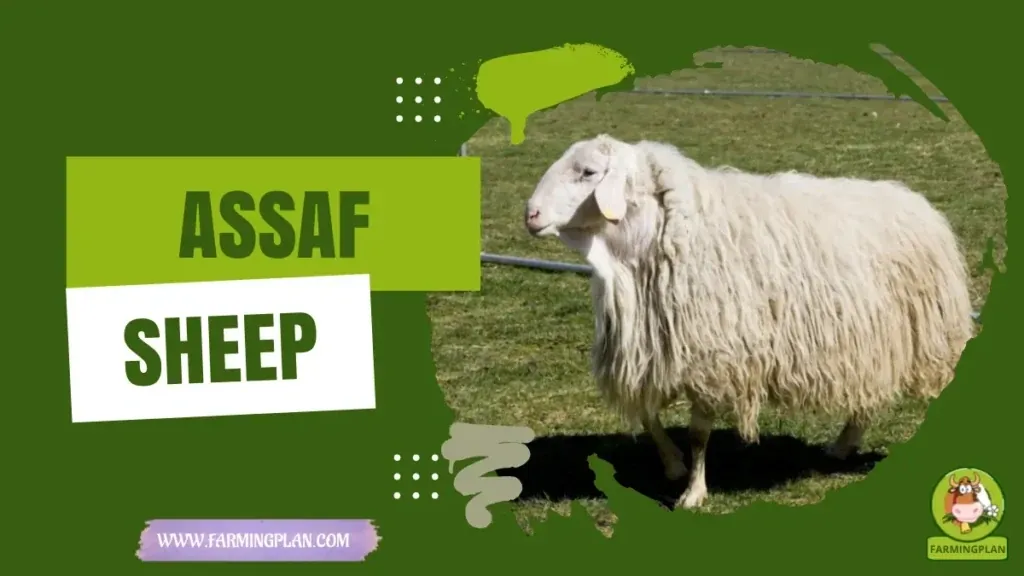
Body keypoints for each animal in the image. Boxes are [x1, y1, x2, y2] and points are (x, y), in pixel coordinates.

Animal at [523, 134, 976, 509]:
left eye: (587, 172)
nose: (531, 214)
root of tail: (916, 201)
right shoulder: (655, 349)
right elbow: (650, 417)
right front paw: (672, 465)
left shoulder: (711, 356)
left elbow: (698, 434)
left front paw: (693, 492)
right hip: (872, 342)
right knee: (866, 401)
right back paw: (842, 447)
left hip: (929, 335)